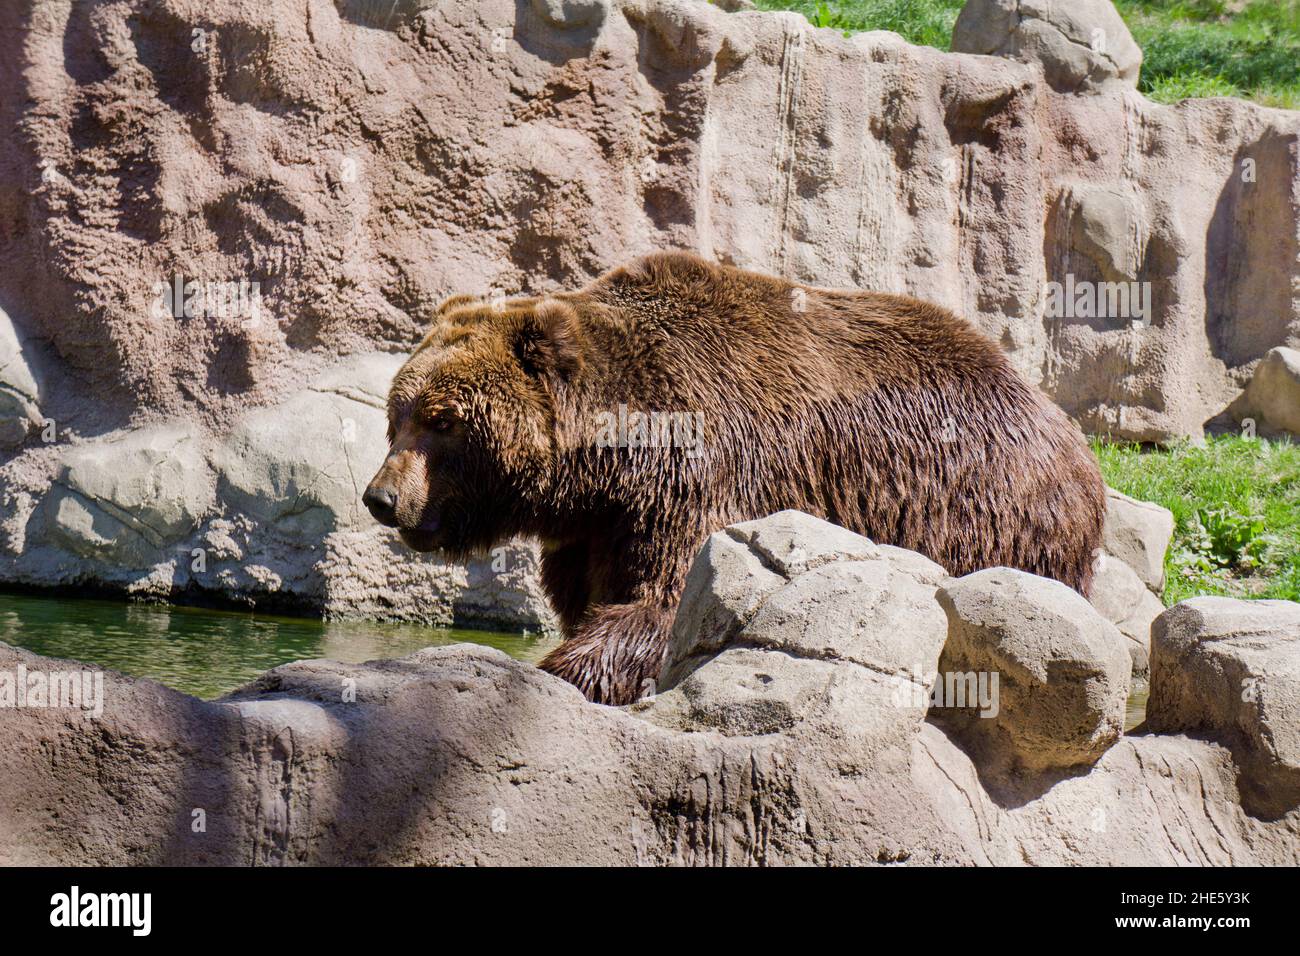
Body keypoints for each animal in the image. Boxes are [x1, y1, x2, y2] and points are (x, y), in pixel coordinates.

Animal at [366, 251, 1107, 707]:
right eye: (397, 414)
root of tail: (1054, 415)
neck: (612, 463)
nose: (381, 497)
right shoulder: (596, 529)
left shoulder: (705, 478)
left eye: (442, 421)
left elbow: (671, 600)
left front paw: (566, 670)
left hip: (983, 510)